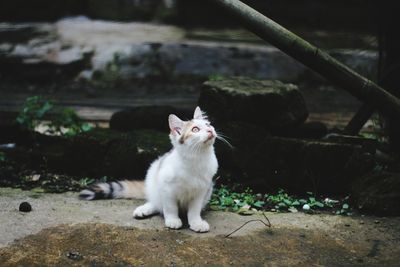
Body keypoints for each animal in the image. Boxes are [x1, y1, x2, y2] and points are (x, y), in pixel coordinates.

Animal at [80, 107, 219, 232]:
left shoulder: (201, 191)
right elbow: (170, 207)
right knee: (156, 202)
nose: (210, 130)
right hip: (154, 176)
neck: (197, 159)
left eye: (208, 125)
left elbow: (194, 211)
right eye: (195, 129)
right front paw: (173, 220)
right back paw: (144, 209)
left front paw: (196, 223)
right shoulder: (167, 188)